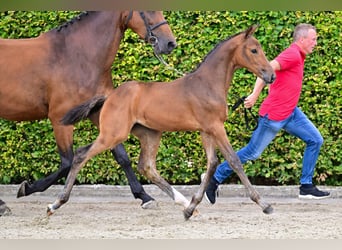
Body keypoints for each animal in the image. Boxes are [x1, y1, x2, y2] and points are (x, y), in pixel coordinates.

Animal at [0, 10, 176, 213]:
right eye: (148, 11)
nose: (170, 43)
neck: (77, 56)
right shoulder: (60, 119)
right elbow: (67, 162)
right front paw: (27, 188)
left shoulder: (101, 113)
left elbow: (121, 156)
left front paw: (144, 197)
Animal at [47, 23, 276, 219]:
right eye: (254, 50)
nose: (271, 75)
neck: (207, 84)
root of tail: (109, 96)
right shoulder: (215, 127)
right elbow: (234, 160)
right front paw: (264, 204)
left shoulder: (206, 130)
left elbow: (212, 163)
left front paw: (192, 206)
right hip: (113, 134)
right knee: (81, 154)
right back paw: (55, 203)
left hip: (149, 133)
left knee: (147, 167)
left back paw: (183, 205)